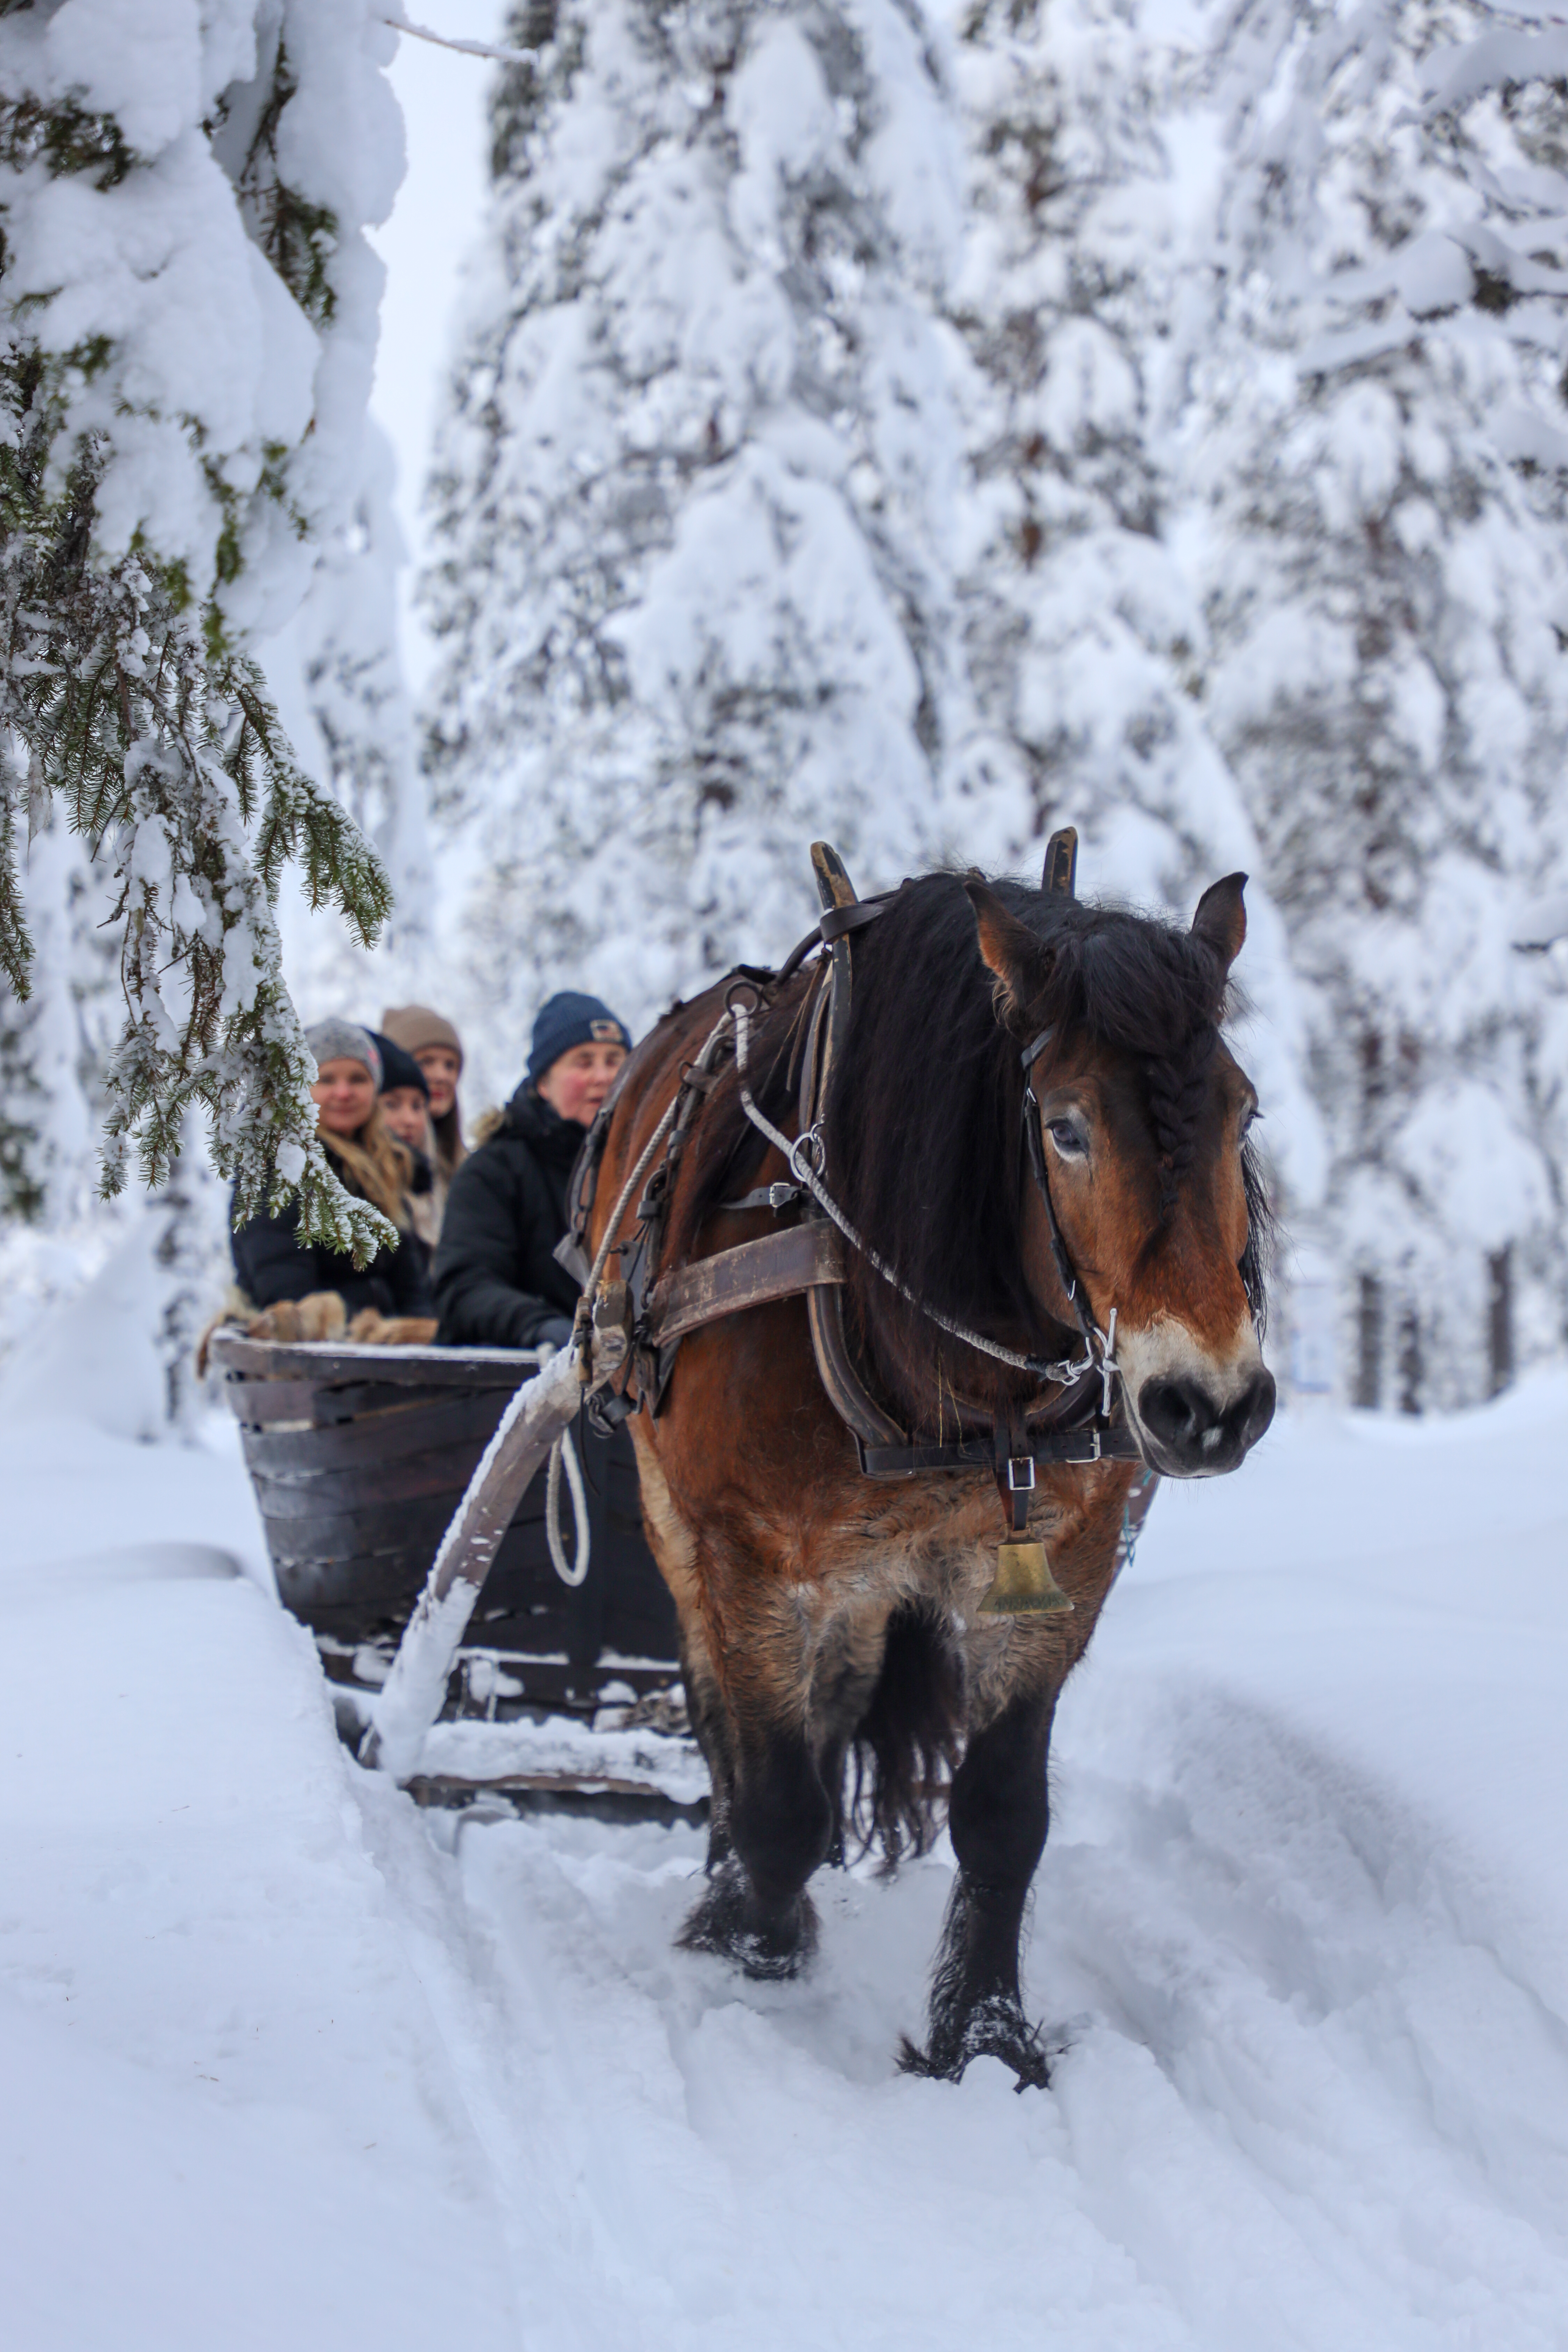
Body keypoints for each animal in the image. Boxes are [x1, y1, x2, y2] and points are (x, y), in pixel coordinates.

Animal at [582, 851, 1276, 2084]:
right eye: (1065, 1127)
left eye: (1242, 1107)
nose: (1211, 1406)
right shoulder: (745, 1551)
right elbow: (776, 1803)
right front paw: (755, 1949)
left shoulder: (1061, 1565)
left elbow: (1002, 1815)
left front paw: (985, 2036)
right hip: (680, 1523)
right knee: (721, 1718)